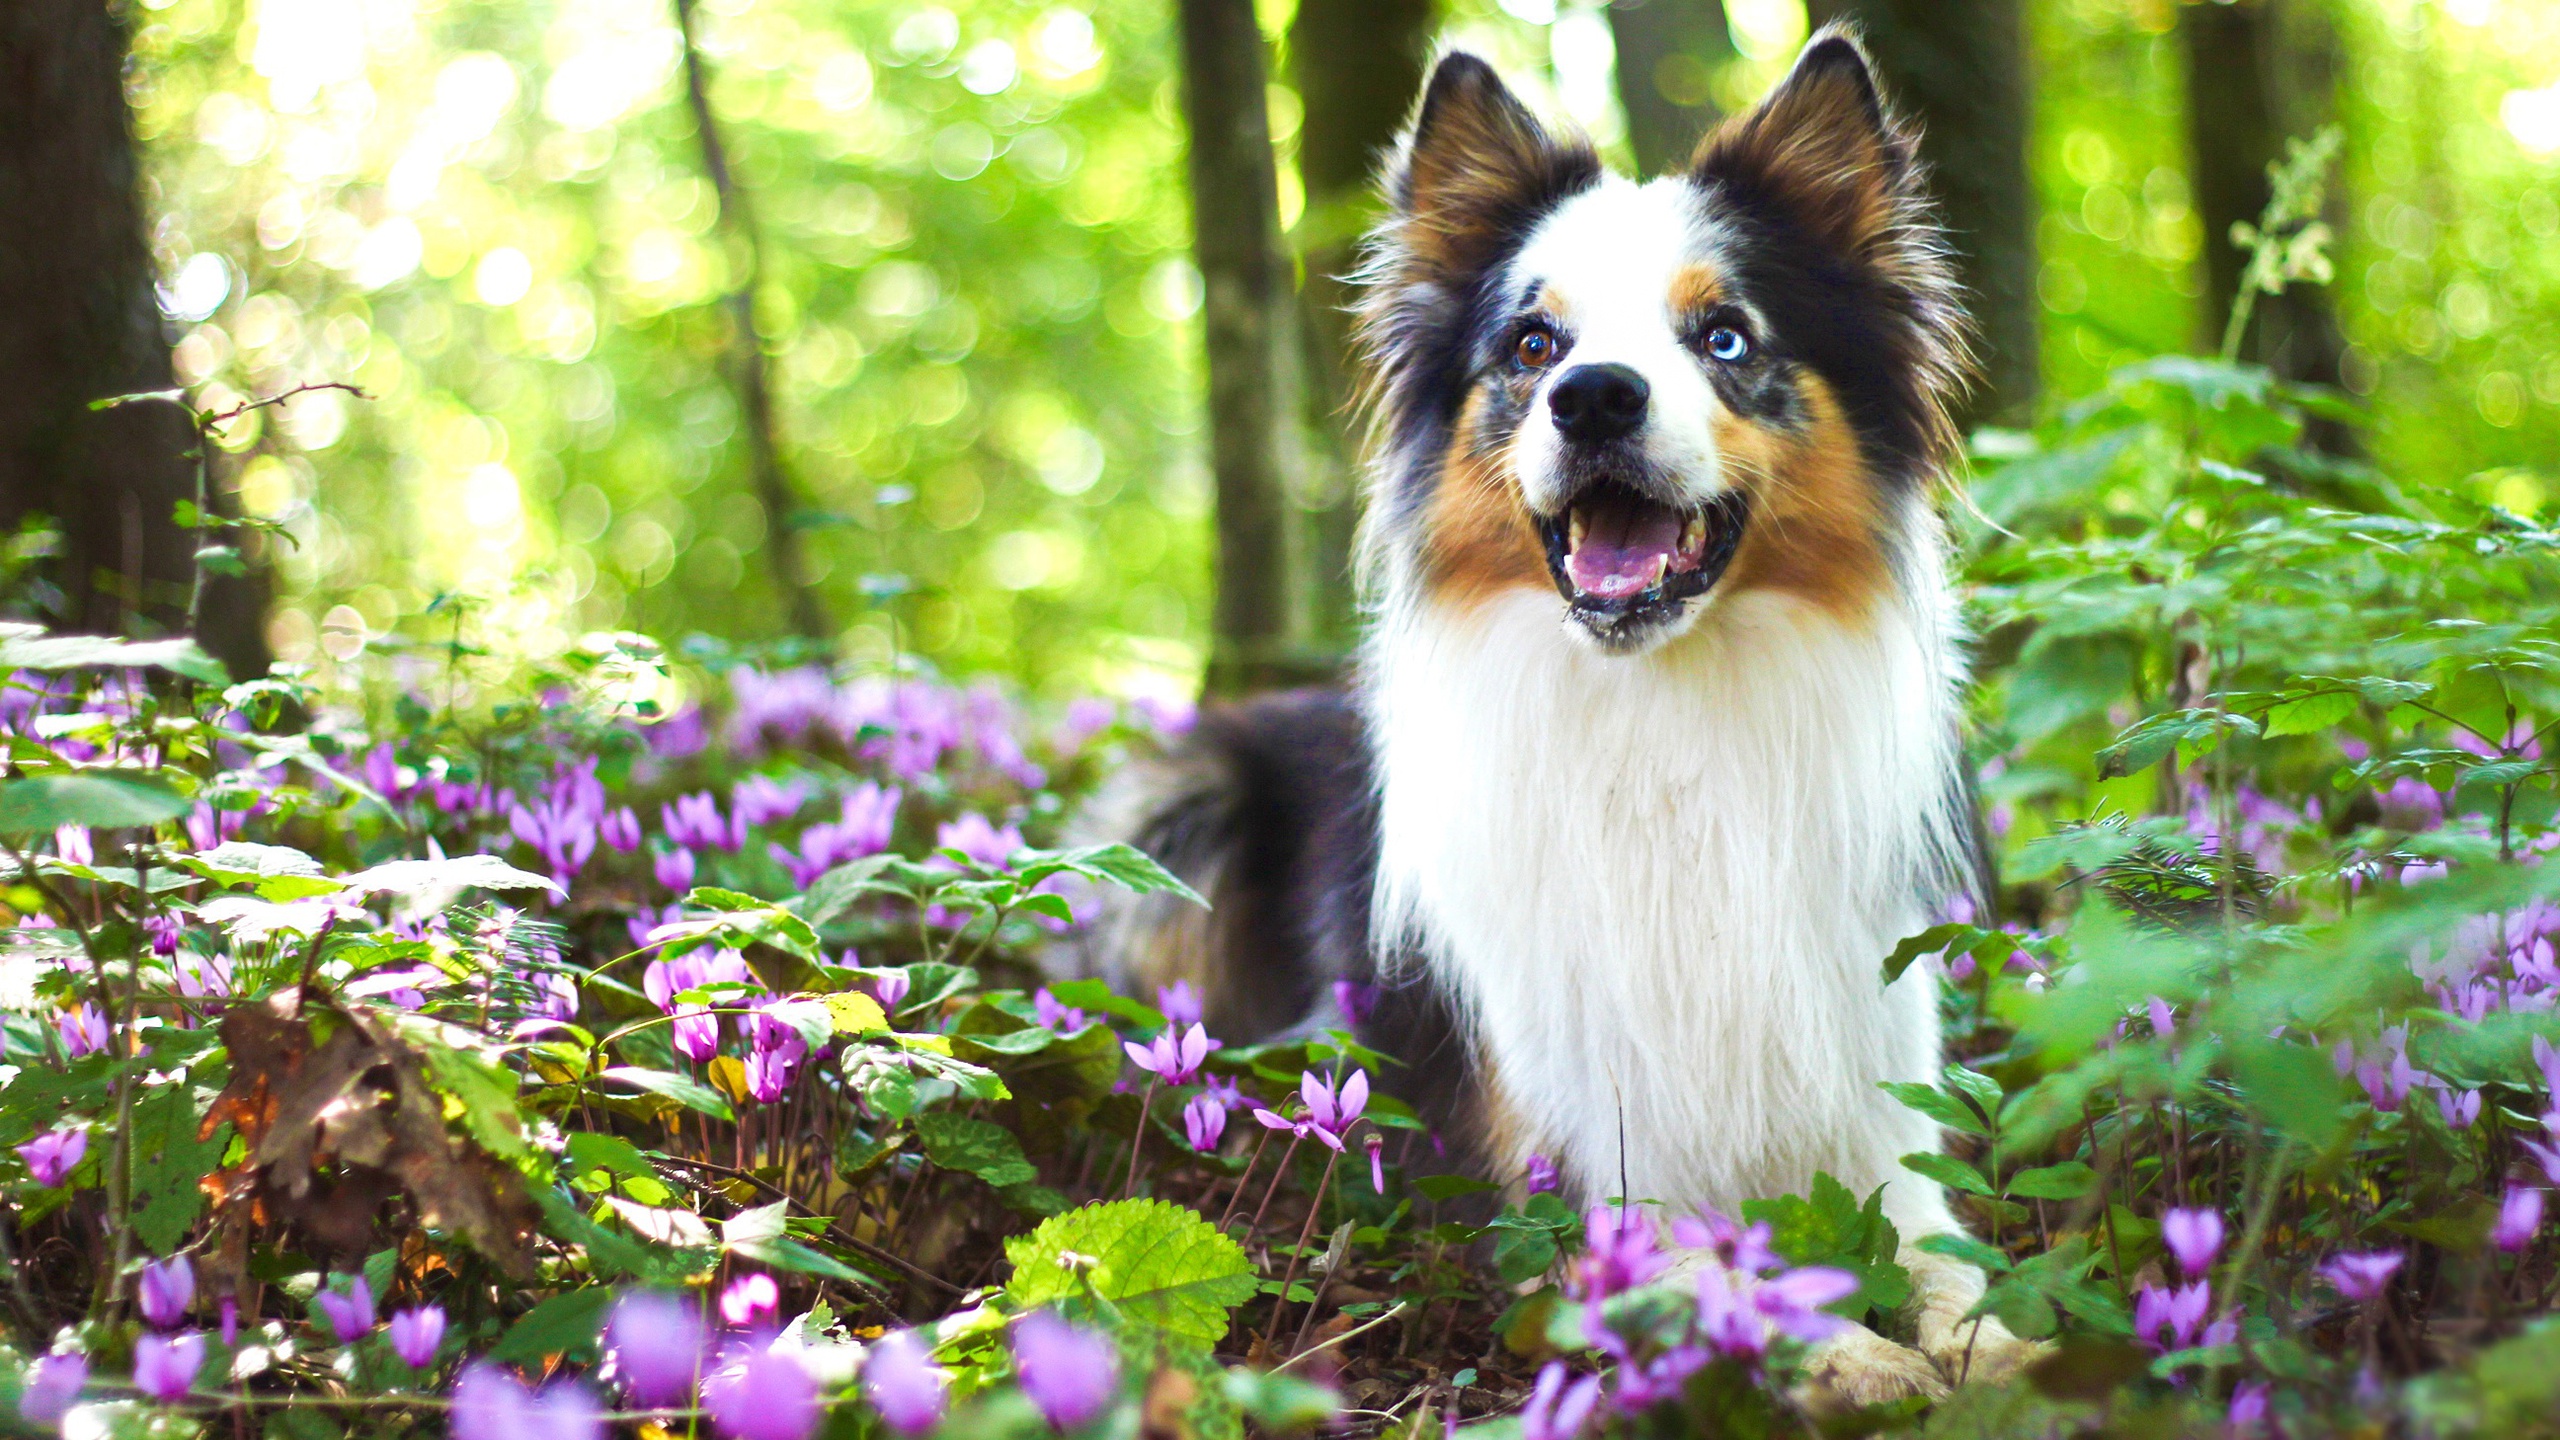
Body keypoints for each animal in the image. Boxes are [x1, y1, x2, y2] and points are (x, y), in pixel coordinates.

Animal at [1100, 28, 2037, 1404]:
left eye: (1724, 337)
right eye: (1535, 345)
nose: (1594, 396)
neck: (1663, 718)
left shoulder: (1879, 1098)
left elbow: (1947, 1261)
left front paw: (2001, 1349)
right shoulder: (1564, 1163)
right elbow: (1714, 1270)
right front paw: (1850, 1358)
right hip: (1180, 818)